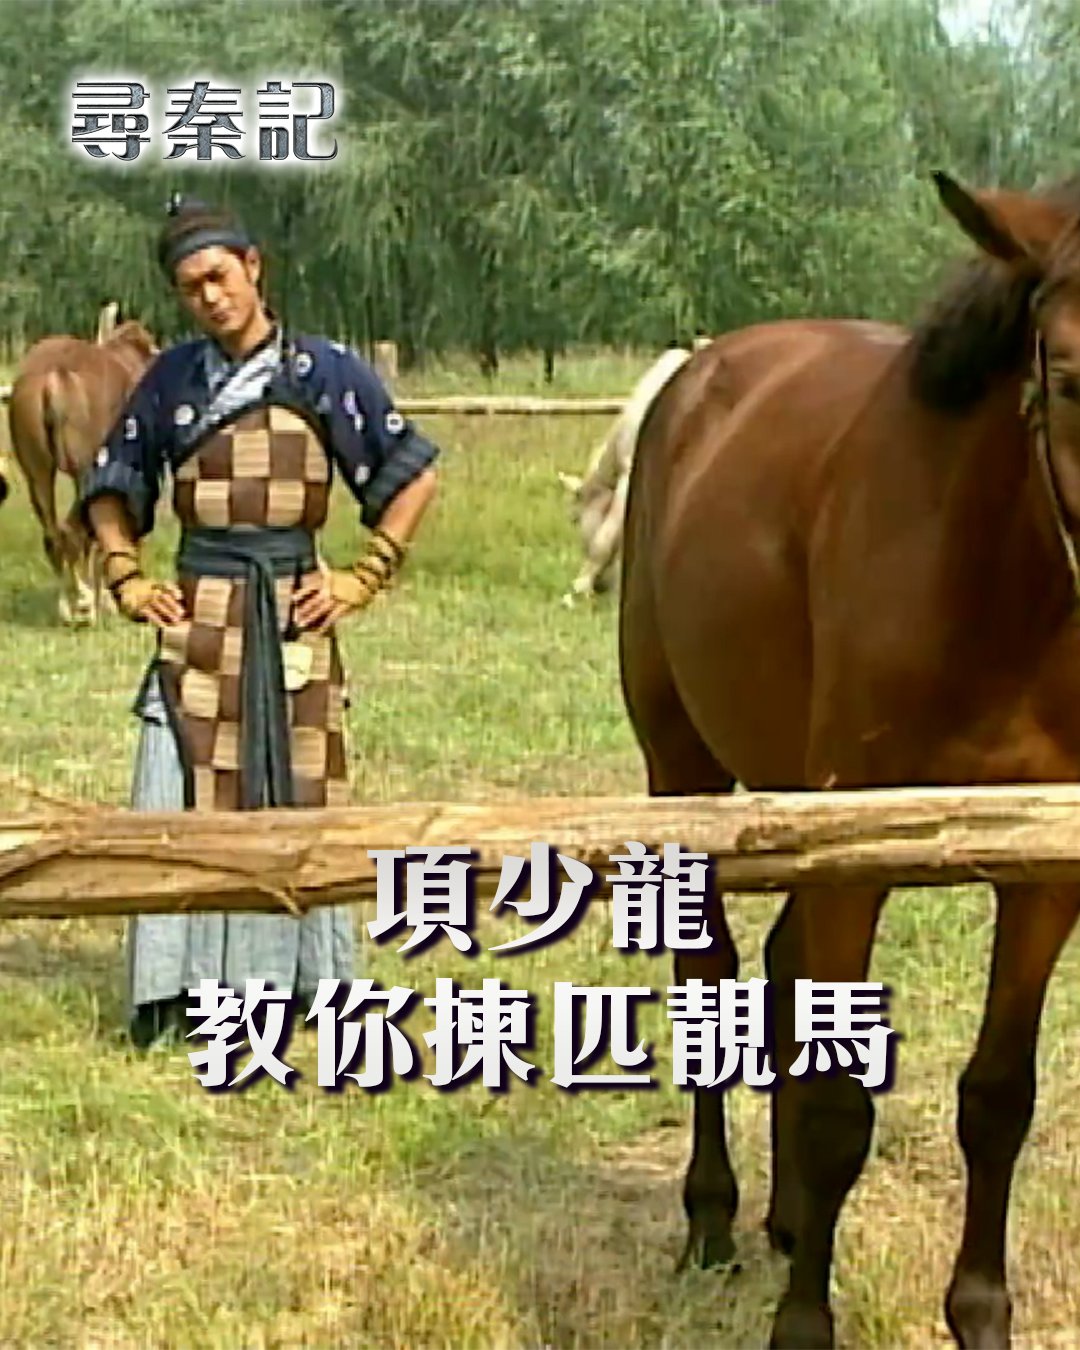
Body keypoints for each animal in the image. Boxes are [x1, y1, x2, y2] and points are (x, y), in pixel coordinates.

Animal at [7, 314, 157, 625]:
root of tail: (54, 379)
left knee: (55, 533)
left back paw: (68, 608)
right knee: (76, 531)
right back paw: (87, 605)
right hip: (86, 467)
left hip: (36, 469)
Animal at [618, 169, 1080, 1348]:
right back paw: (715, 1222)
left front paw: (981, 1315)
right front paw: (803, 1325)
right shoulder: (858, 856)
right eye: (1064, 371)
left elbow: (998, 1097)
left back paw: (787, 1220)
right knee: (711, 976)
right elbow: (836, 1107)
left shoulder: (1045, 869)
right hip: (685, 767)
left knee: (785, 972)